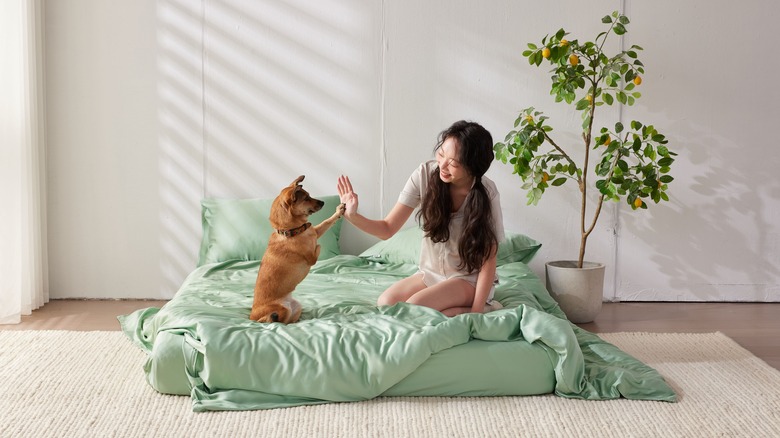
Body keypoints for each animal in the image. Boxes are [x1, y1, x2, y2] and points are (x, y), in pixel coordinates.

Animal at [250, 175, 344, 322]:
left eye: (309, 195)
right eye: (306, 199)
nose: (323, 202)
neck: (290, 231)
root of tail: (251, 316)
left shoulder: (316, 231)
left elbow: (327, 222)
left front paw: (339, 211)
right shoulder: (312, 257)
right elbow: (317, 247)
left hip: (297, 306)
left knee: (289, 322)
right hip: (283, 310)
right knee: (277, 322)